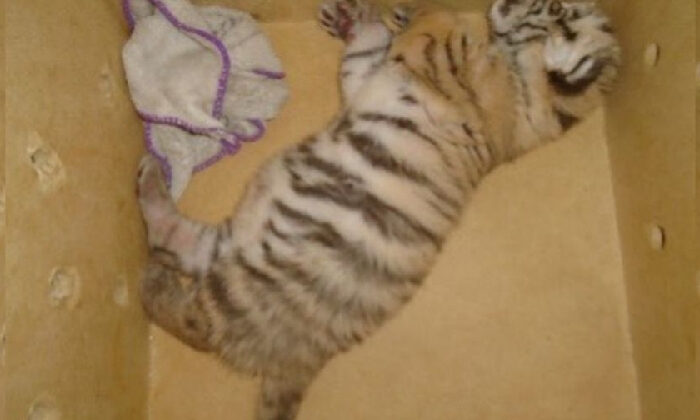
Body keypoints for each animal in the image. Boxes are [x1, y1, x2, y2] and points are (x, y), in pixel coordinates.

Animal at [135, 1, 621, 419]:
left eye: (554, 7)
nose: (502, 4)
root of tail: (306, 358)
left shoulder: (456, 77)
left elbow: (438, 29)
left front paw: (411, 15)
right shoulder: (372, 77)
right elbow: (367, 53)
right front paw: (359, 18)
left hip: (255, 285)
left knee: (197, 323)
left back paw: (152, 279)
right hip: (239, 242)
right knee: (175, 241)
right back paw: (152, 184)